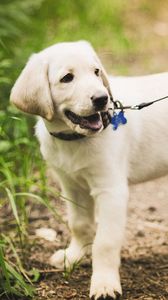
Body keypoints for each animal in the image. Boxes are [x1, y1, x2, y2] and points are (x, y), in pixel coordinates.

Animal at [10, 40, 168, 300]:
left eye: (96, 72)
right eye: (67, 78)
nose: (102, 98)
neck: (73, 139)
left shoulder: (111, 190)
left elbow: (105, 241)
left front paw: (104, 284)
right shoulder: (71, 185)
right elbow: (79, 224)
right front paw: (74, 256)